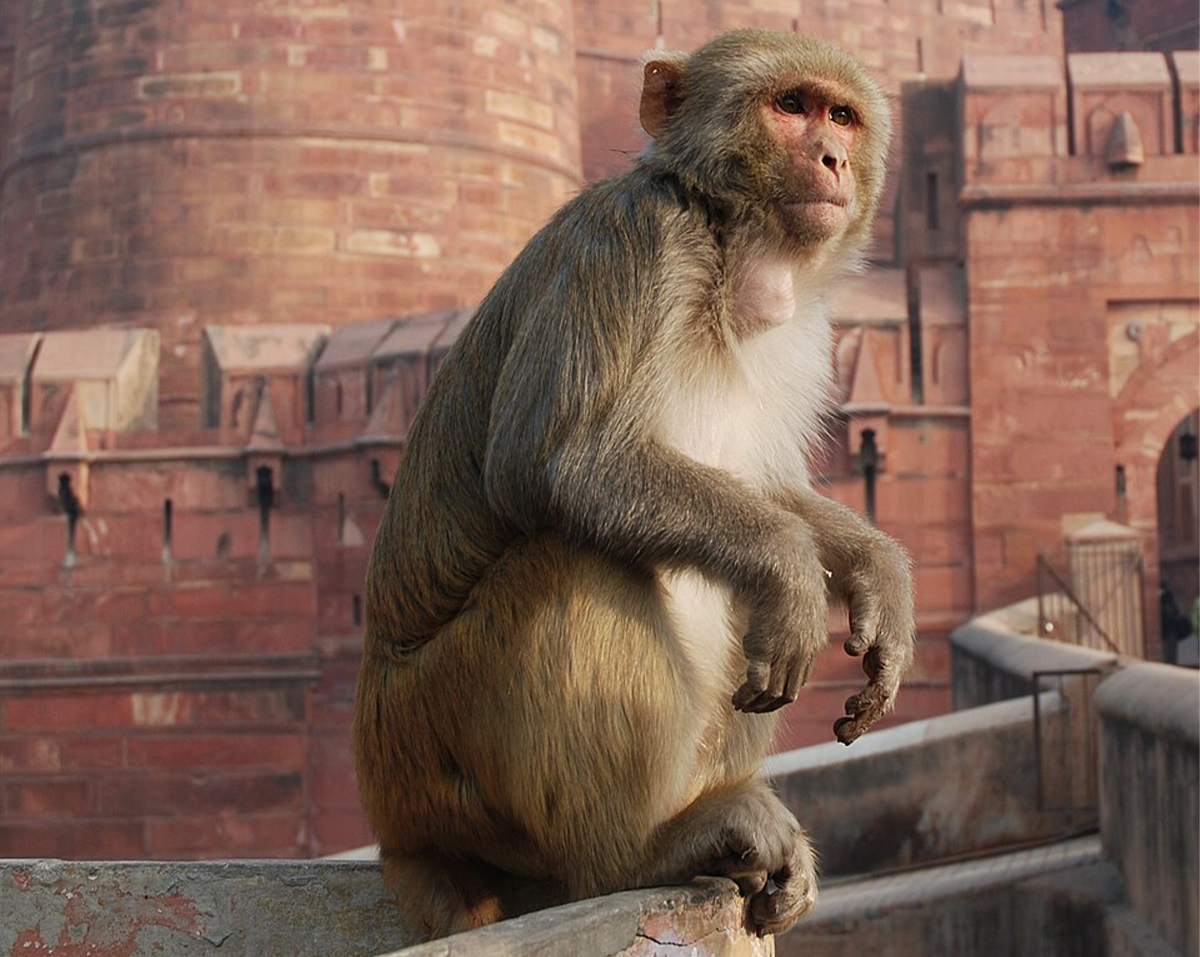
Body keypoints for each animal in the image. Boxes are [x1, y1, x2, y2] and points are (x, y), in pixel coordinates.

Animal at [353, 28, 915, 942]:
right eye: (790, 106)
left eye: (843, 117)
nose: (832, 157)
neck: (730, 253)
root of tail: (397, 833)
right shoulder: (634, 244)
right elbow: (557, 461)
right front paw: (795, 572)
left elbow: (766, 486)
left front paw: (880, 573)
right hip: (432, 758)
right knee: (576, 559)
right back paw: (637, 852)